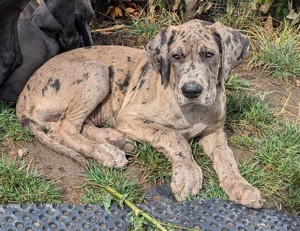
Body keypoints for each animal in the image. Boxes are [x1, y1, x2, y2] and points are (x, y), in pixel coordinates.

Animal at [16, 19, 264, 208]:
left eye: (209, 55)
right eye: (176, 57)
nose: (191, 91)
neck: (192, 111)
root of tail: (22, 97)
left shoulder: (215, 132)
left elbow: (226, 157)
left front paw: (241, 186)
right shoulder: (130, 117)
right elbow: (173, 137)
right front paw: (187, 173)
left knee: (78, 126)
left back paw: (116, 139)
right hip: (97, 72)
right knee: (65, 130)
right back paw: (107, 152)